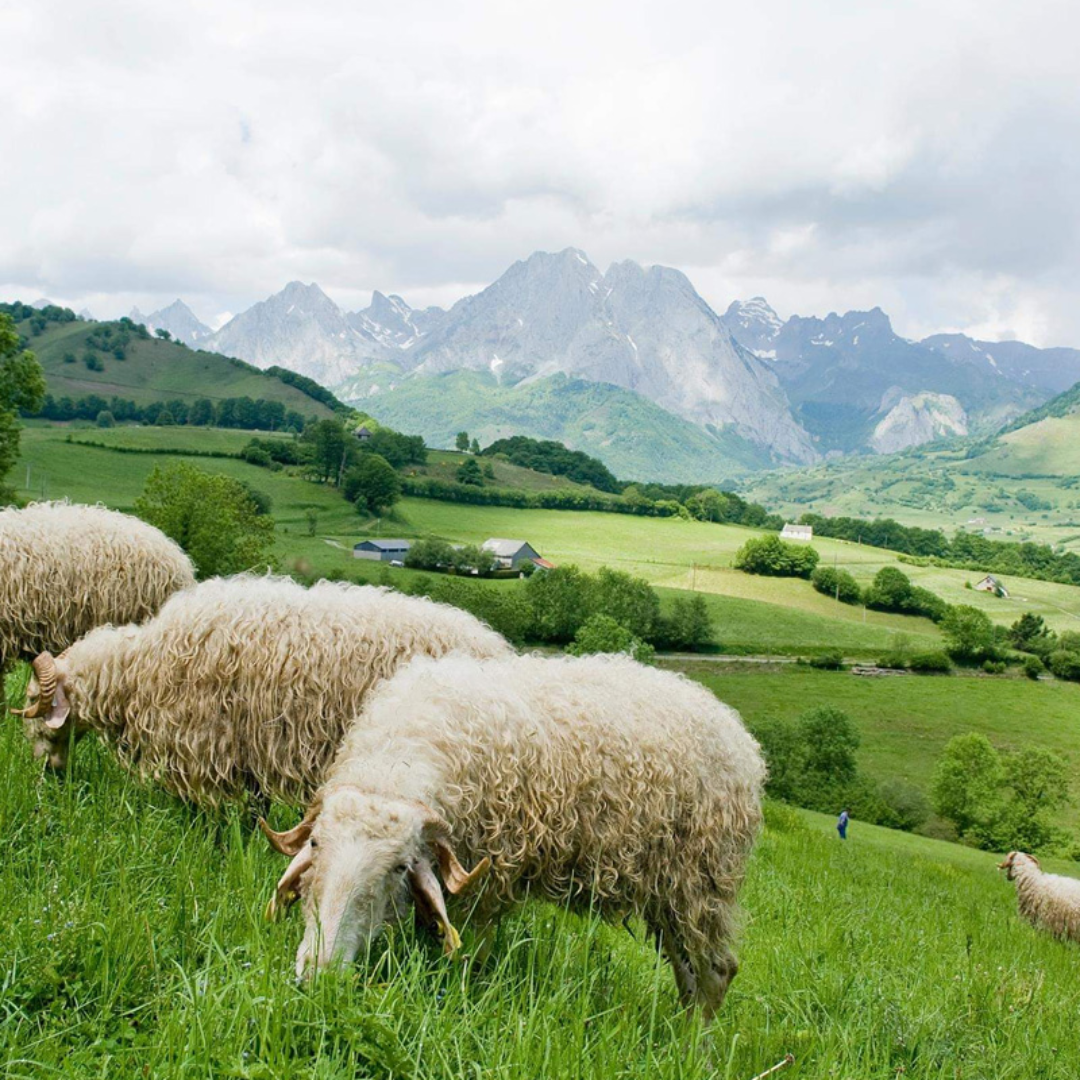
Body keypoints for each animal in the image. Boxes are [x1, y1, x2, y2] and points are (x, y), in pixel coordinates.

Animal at [13, 574, 509, 803]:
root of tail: (496, 647)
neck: (138, 669)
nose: (45, 774)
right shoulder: (243, 755)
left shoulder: (204, 749)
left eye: (36, 710)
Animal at [264, 648, 764, 1019]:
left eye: (400, 867)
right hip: (670, 890)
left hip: (701, 880)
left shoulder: (487, 886)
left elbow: (469, 958)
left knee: (716, 972)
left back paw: (695, 1051)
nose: (319, 974)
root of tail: (739, 736)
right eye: (315, 844)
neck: (399, 761)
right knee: (688, 973)